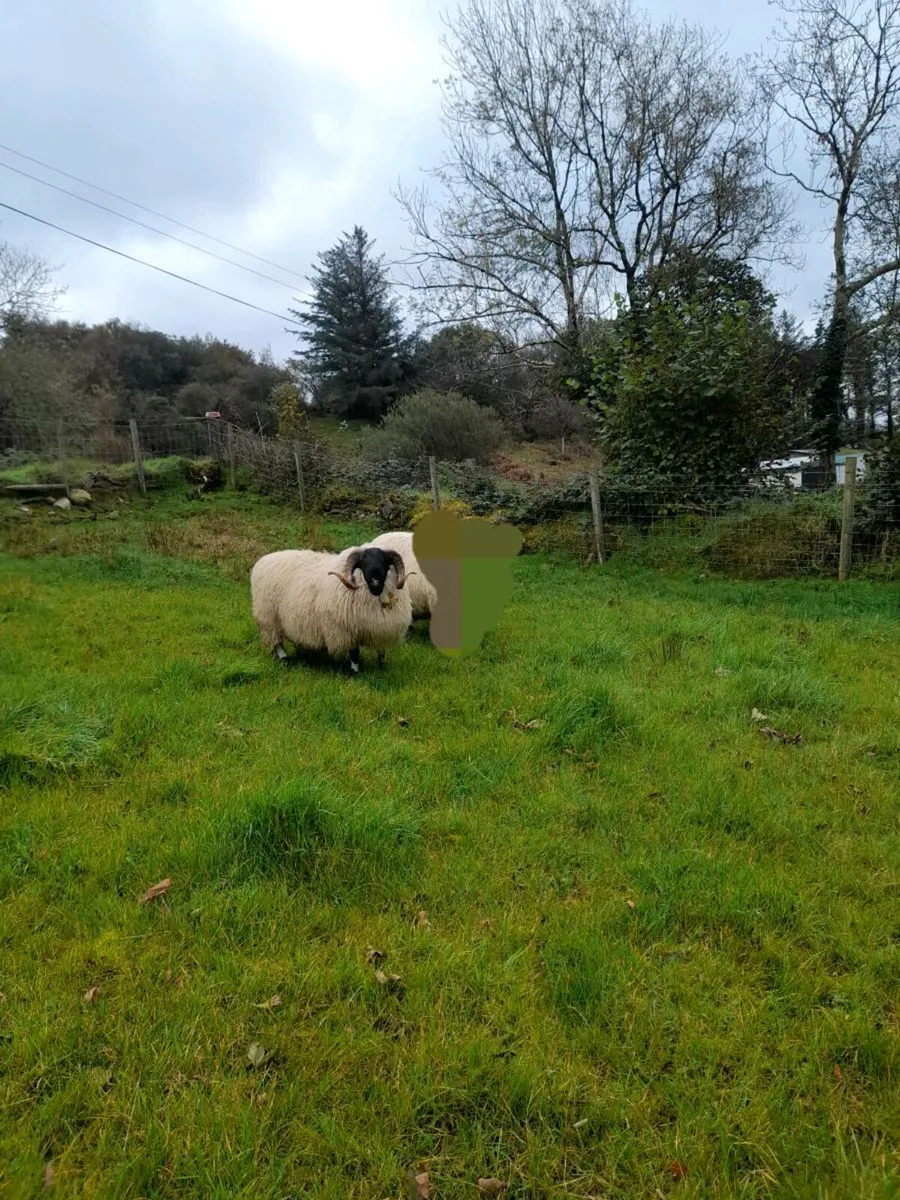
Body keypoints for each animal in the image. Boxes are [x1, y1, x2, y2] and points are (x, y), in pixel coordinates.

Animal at [250, 544, 412, 674]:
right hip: (269, 617)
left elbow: (381, 650)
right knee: (276, 641)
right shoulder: (345, 630)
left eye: (384, 561)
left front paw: (383, 667)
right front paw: (354, 672)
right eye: (363, 562)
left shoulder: (380, 628)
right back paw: (285, 659)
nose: (375, 580)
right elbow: (355, 652)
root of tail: (264, 559)